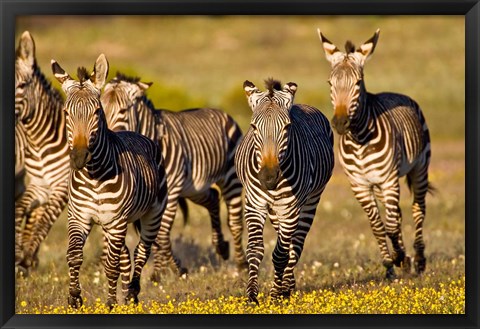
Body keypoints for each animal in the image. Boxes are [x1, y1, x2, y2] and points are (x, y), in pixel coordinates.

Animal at [51, 53, 168, 308]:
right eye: (66, 113)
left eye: (96, 112)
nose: (79, 157)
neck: (94, 175)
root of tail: (137, 133)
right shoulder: (79, 217)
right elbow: (74, 256)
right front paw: (74, 298)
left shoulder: (116, 221)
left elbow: (111, 266)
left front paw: (111, 303)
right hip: (112, 225)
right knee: (126, 257)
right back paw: (126, 295)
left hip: (151, 216)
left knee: (141, 253)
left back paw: (132, 295)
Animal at [101, 72, 248, 276]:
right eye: (101, 108)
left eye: (122, 111)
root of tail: (220, 112)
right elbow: (155, 236)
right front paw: (163, 270)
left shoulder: (169, 193)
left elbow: (161, 235)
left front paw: (169, 270)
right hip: (195, 187)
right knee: (212, 198)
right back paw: (222, 247)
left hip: (230, 179)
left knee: (235, 222)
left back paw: (242, 265)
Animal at [233, 78, 332, 304]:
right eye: (253, 127)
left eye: (287, 127)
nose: (268, 178)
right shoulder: (255, 205)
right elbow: (255, 249)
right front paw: (252, 296)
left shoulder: (290, 208)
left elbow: (280, 254)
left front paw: (277, 294)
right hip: (275, 210)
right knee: (287, 242)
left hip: (310, 202)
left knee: (295, 245)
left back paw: (286, 288)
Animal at [316, 29, 434, 278]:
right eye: (330, 83)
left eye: (358, 83)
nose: (340, 123)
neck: (360, 140)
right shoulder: (360, 185)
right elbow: (378, 227)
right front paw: (390, 264)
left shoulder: (389, 180)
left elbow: (391, 226)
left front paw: (399, 257)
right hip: (380, 184)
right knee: (397, 214)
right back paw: (406, 261)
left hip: (419, 168)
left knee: (417, 209)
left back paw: (419, 260)